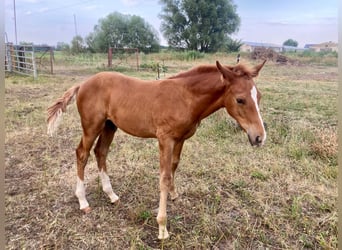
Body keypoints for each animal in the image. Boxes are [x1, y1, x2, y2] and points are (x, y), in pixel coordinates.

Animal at [46, 60, 268, 238]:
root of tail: (83, 83)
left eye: (259, 97)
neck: (185, 97)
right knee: (82, 154)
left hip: (110, 126)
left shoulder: (180, 139)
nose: (259, 137)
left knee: (101, 152)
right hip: (92, 126)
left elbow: (174, 166)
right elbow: (164, 177)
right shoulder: (165, 140)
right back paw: (83, 201)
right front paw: (162, 227)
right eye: (240, 99)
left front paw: (174, 194)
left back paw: (111, 195)